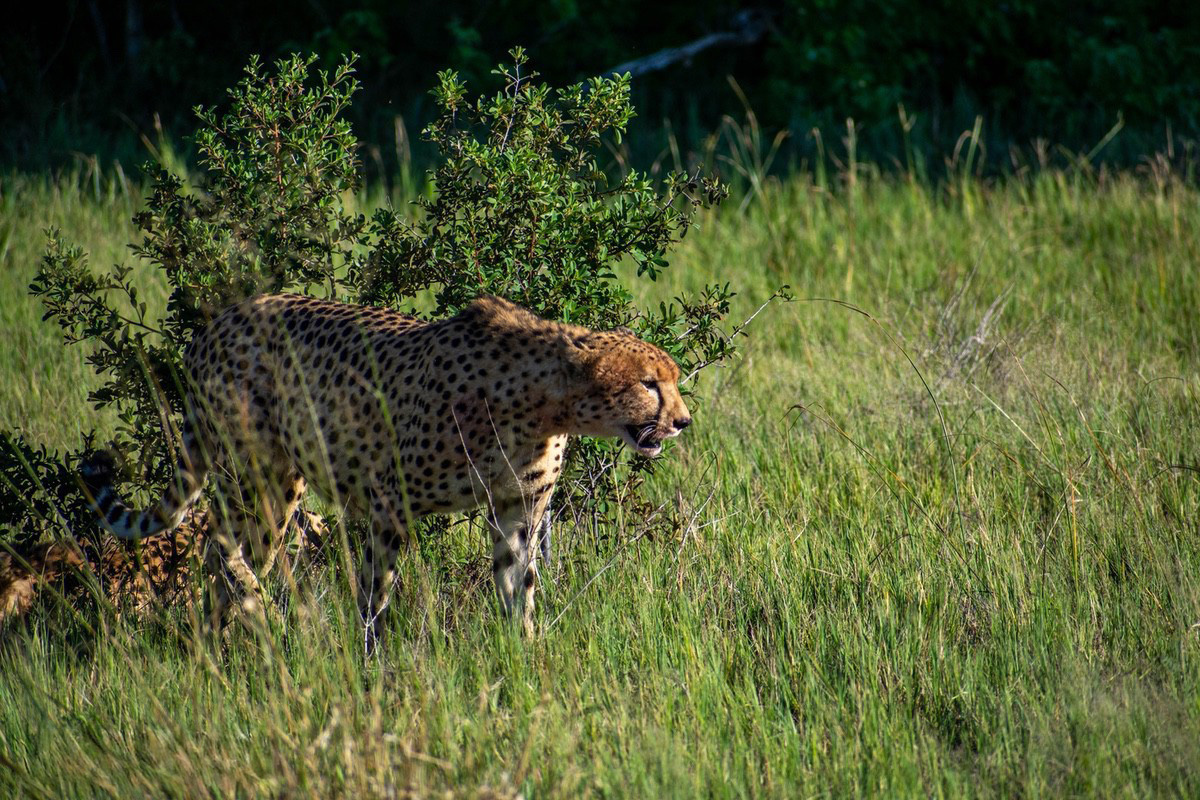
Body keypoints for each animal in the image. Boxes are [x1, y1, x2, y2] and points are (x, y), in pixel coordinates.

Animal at [81, 293, 691, 651]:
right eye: (648, 383)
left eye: (671, 380)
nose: (683, 421)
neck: (544, 401)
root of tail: (220, 320)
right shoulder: (388, 501)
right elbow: (375, 592)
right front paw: (371, 658)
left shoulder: (517, 509)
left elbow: (520, 584)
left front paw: (525, 651)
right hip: (258, 473)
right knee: (222, 547)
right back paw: (267, 623)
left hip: (276, 480)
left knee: (228, 556)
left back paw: (216, 643)